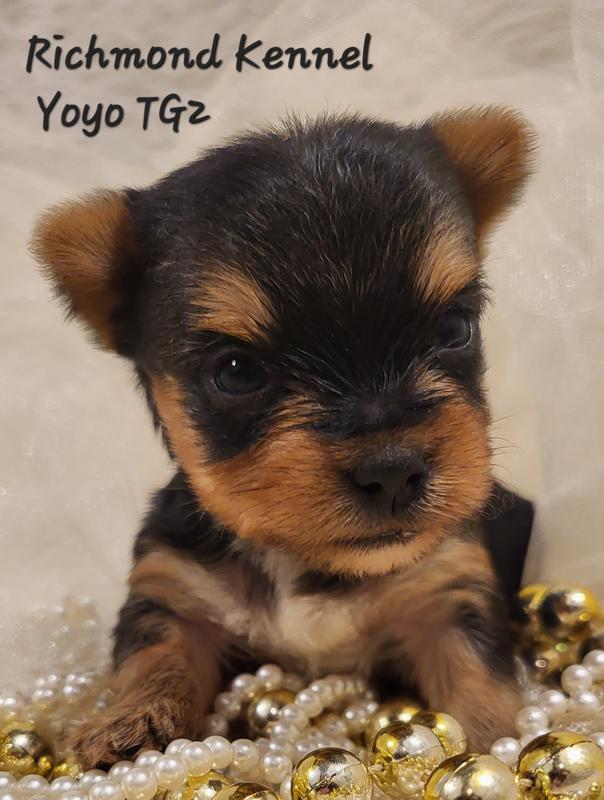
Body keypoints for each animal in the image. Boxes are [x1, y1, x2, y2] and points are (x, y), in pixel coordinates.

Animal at [33, 107, 536, 767]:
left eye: (455, 328)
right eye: (236, 372)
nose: (393, 470)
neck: (305, 560)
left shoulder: (449, 588)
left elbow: (478, 676)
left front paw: (496, 747)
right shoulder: (171, 587)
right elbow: (157, 654)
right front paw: (127, 724)